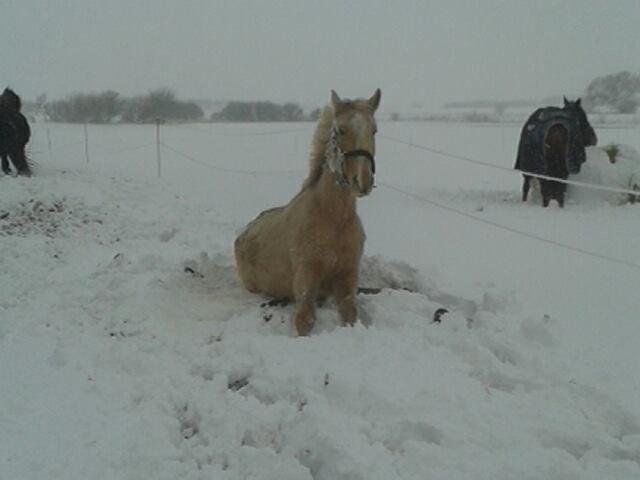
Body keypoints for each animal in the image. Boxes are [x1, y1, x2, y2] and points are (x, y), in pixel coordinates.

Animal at [234, 89, 380, 334]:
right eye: (340, 130)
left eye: (374, 130)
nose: (362, 182)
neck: (333, 220)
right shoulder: (305, 280)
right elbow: (305, 320)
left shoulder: (349, 277)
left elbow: (350, 315)